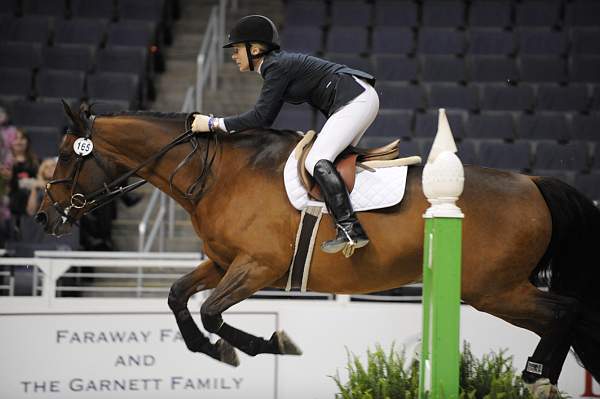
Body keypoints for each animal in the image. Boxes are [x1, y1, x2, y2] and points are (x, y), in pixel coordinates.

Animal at [35, 102, 596, 394]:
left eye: (67, 156)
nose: (43, 217)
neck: (216, 173)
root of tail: (533, 182)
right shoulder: (221, 261)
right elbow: (178, 298)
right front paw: (214, 351)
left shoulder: (257, 267)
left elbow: (213, 311)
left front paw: (273, 344)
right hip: (497, 291)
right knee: (565, 318)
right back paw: (543, 378)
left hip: (493, 290)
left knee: (565, 311)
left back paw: (537, 378)